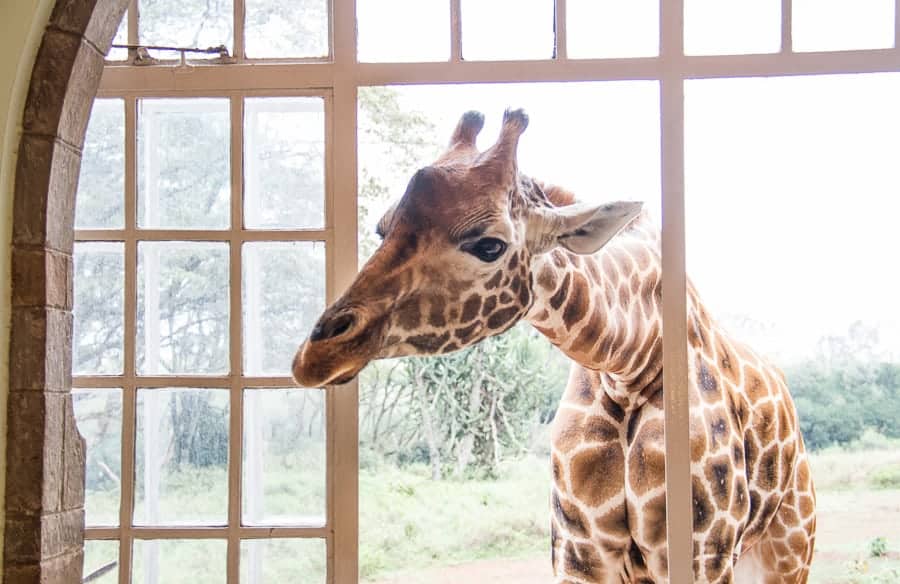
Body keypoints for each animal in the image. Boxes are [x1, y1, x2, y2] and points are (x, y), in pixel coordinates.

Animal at [294, 108, 816, 580]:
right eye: (383, 228)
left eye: (489, 245)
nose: (317, 354)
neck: (628, 363)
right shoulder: (577, 551)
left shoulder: (701, 550)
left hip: (787, 552)